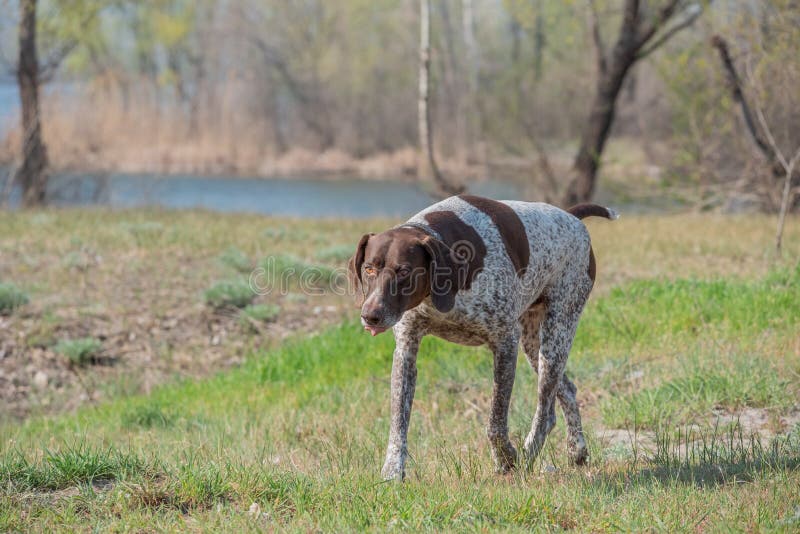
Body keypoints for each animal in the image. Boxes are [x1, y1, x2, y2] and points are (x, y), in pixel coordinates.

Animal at [346, 195, 616, 480]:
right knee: (567, 390)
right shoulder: (406, 350)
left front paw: (506, 458)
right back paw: (577, 449)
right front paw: (392, 470)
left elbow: (495, 421)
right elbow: (399, 421)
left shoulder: (505, 343)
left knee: (546, 410)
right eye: (369, 269)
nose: (370, 316)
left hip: (557, 331)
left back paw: (531, 452)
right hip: (534, 344)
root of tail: (572, 217)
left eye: (404, 271)